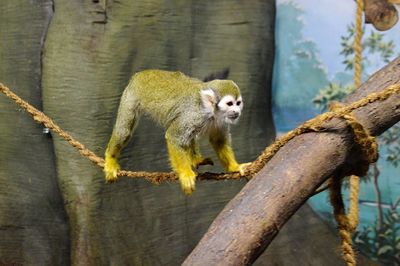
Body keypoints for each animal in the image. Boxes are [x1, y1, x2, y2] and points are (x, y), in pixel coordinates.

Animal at [104, 69, 248, 194]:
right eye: (230, 104)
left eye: (238, 103)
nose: (236, 111)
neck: (210, 111)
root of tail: (141, 73)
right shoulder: (194, 115)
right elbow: (174, 136)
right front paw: (185, 174)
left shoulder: (220, 121)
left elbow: (218, 140)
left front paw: (234, 167)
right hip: (131, 96)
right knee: (124, 131)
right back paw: (110, 159)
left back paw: (195, 159)